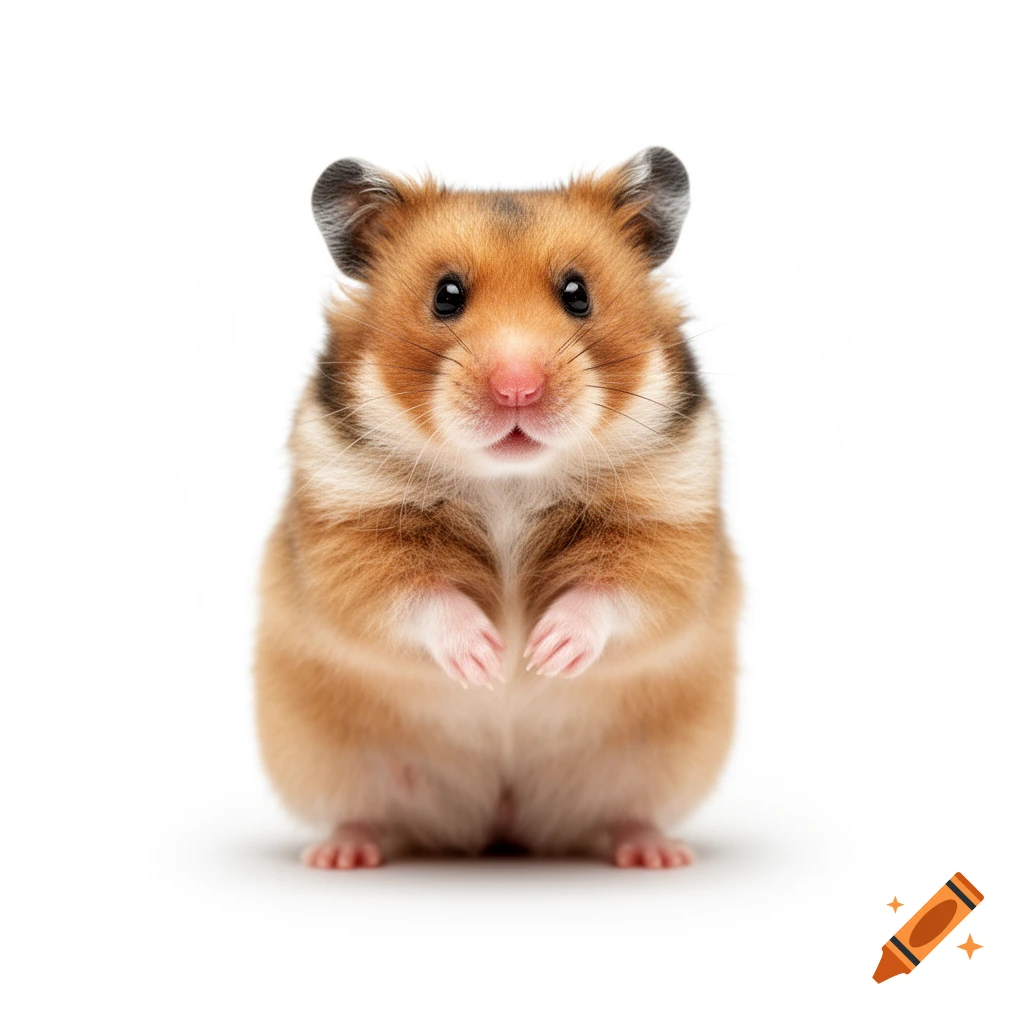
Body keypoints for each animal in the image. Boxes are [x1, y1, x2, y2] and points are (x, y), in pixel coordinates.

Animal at [254, 147, 740, 869]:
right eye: (446, 295)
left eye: (577, 293)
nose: (518, 390)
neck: (508, 482)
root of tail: (502, 818)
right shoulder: (348, 533)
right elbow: (412, 597)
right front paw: (488, 658)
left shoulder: (670, 525)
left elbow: (619, 592)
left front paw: (543, 653)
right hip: (329, 761)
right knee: (371, 816)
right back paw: (340, 855)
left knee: (621, 814)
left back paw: (657, 855)